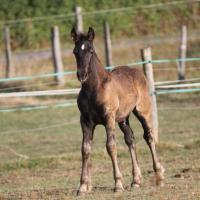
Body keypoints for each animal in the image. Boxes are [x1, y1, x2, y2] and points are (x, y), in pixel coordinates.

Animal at [70, 26, 164, 195]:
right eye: (75, 51)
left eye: (91, 50)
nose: (82, 74)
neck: (94, 89)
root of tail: (137, 71)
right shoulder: (85, 121)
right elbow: (85, 149)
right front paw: (82, 187)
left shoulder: (109, 118)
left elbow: (111, 146)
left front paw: (118, 184)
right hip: (123, 119)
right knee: (130, 139)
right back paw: (136, 181)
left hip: (143, 111)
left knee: (149, 136)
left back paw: (159, 177)